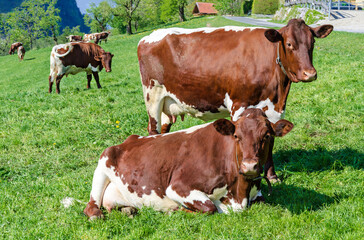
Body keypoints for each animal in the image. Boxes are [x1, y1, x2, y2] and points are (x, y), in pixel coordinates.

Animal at [84, 109, 294, 219]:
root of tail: (130, 139)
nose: (249, 166)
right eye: (236, 136)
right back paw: (97, 213)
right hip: (102, 164)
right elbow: (209, 207)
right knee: (91, 205)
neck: (239, 192)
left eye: (267, 136)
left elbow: (260, 199)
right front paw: (177, 210)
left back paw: (128, 209)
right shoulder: (177, 187)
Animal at [137, 18, 332, 181]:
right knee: (153, 130)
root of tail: (149, 36)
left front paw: (272, 176)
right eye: (290, 44)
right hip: (153, 96)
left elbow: (270, 140)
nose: (310, 74)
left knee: (164, 131)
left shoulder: (274, 109)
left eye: (313, 42)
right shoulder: (239, 105)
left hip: (168, 104)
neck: (278, 92)